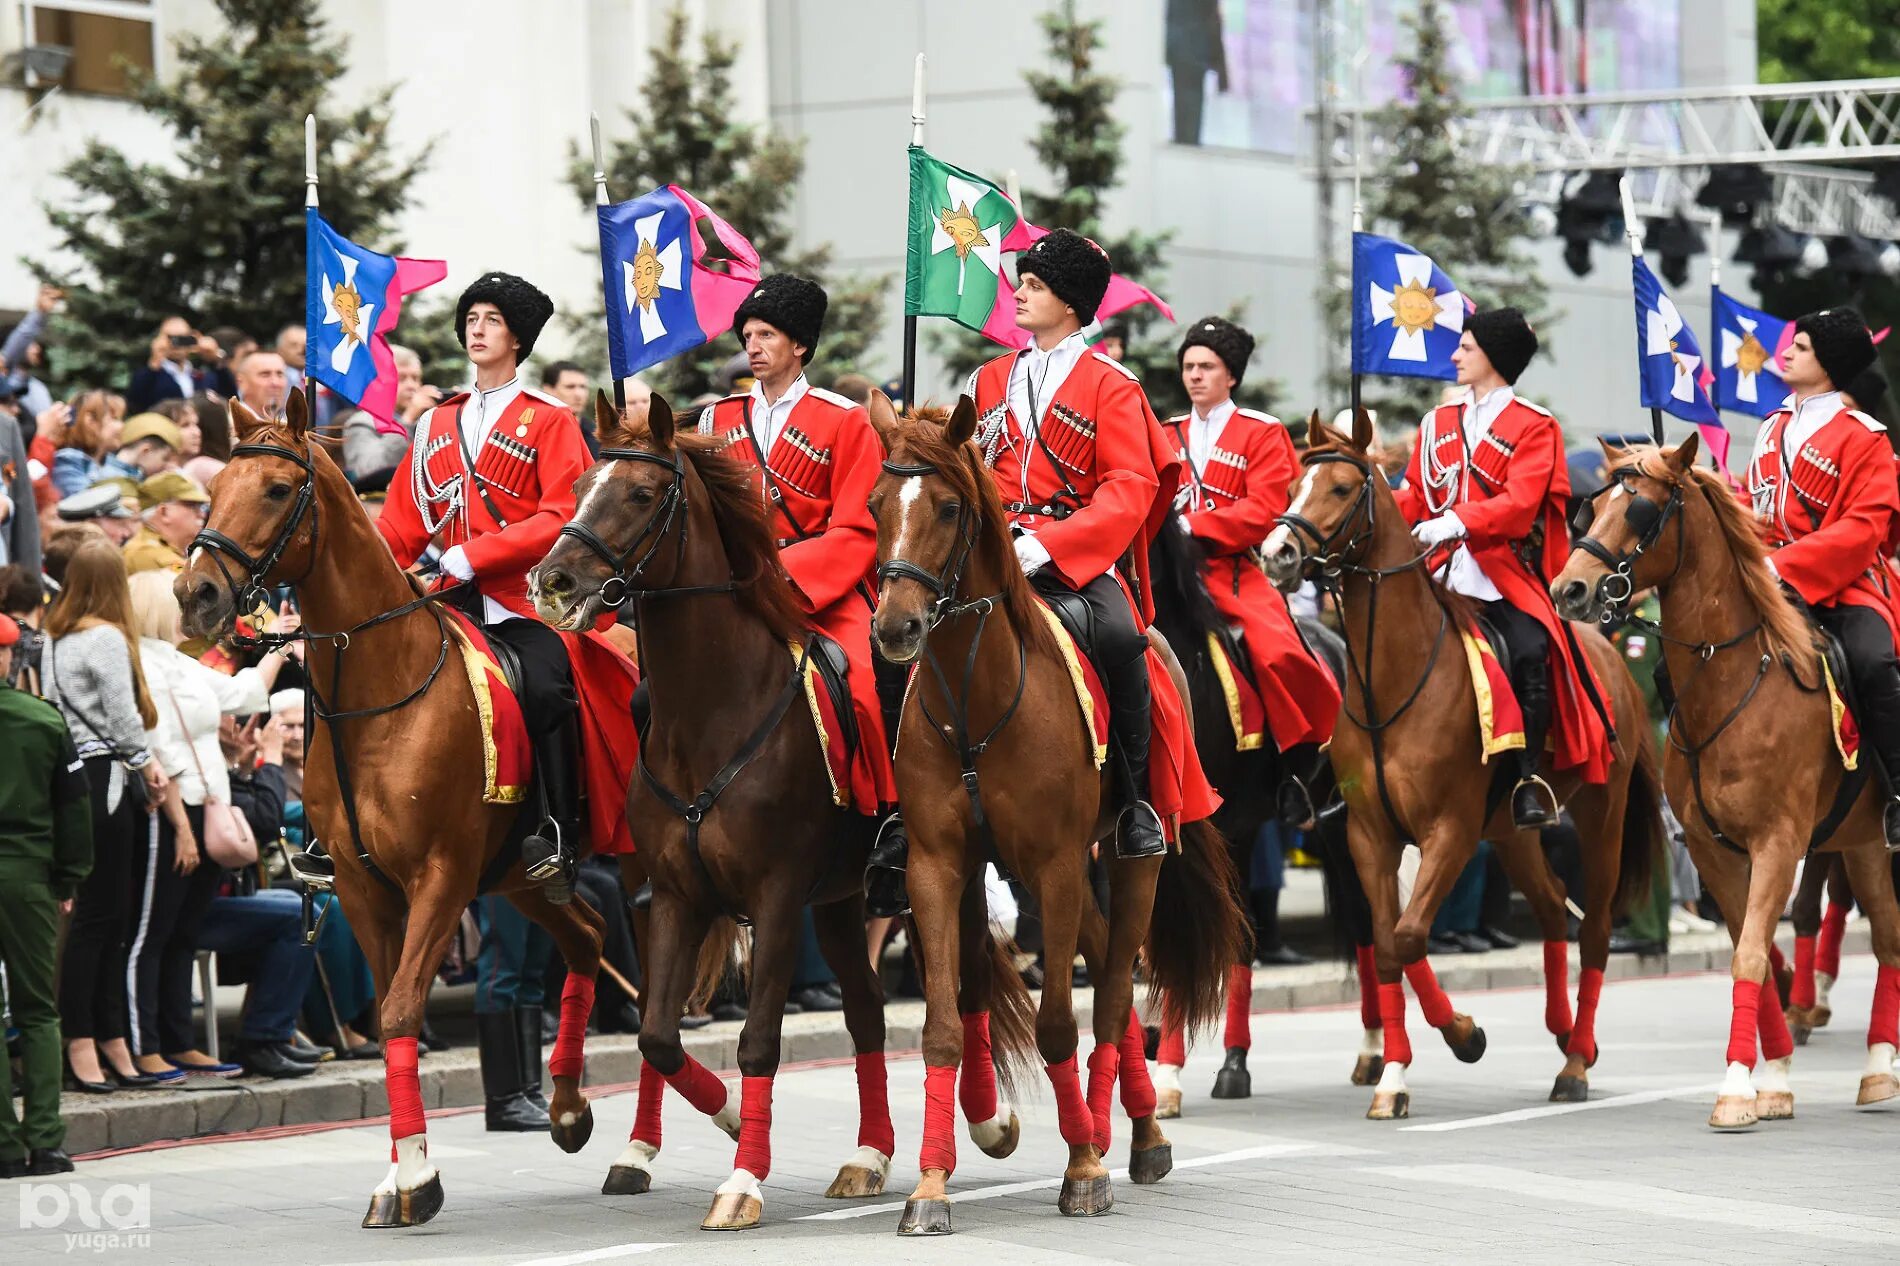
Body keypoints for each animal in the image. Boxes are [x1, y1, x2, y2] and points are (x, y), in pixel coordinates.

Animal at [177, 395, 604, 1224]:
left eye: (277, 489)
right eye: (212, 492)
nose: (196, 594)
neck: (379, 697)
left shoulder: (441, 876)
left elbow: (404, 1009)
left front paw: (418, 1177)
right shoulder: (362, 885)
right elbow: (385, 1016)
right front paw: (401, 1174)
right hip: (527, 879)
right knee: (591, 940)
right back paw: (572, 1109)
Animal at [524, 391, 1041, 1224]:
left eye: (641, 494)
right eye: (577, 489)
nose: (554, 582)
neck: (711, 711)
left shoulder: (774, 897)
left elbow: (760, 1039)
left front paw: (742, 1175)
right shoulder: (674, 894)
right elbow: (657, 1036)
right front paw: (730, 1118)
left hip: (937, 879)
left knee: (963, 990)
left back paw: (988, 1122)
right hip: (837, 903)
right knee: (865, 1011)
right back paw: (868, 1153)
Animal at [866, 397, 1246, 1231]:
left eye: (948, 508)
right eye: (875, 505)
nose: (895, 629)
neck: (975, 698)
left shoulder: (1055, 865)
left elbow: (1059, 1024)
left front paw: (1082, 1171)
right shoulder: (940, 866)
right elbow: (946, 1023)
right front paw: (931, 1186)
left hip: (1130, 865)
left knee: (1113, 997)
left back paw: (1122, 1139)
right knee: (1104, 974)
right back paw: (1124, 1128)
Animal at [1261, 406, 1664, 1117]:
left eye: (1342, 487)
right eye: (1289, 488)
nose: (1277, 553)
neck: (1390, 682)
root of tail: (1611, 651)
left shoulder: (1446, 832)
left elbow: (1411, 933)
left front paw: (1464, 1034)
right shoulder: (1369, 834)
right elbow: (1388, 948)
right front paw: (1393, 1075)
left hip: (1601, 816)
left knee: (1593, 930)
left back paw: (1577, 1060)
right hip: (1511, 829)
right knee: (1552, 907)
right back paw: (1563, 1034)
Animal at [1550, 437, 1900, 1125]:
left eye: (1640, 511)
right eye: (1591, 509)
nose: (1569, 589)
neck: (1736, 679)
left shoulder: (1779, 844)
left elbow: (1751, 952)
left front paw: (1738, 1084)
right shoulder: (1714, 851)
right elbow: (1752, 949)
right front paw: (1775, 1075)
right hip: (1864, 841)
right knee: (1889, 938)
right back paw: (1877, 1067)